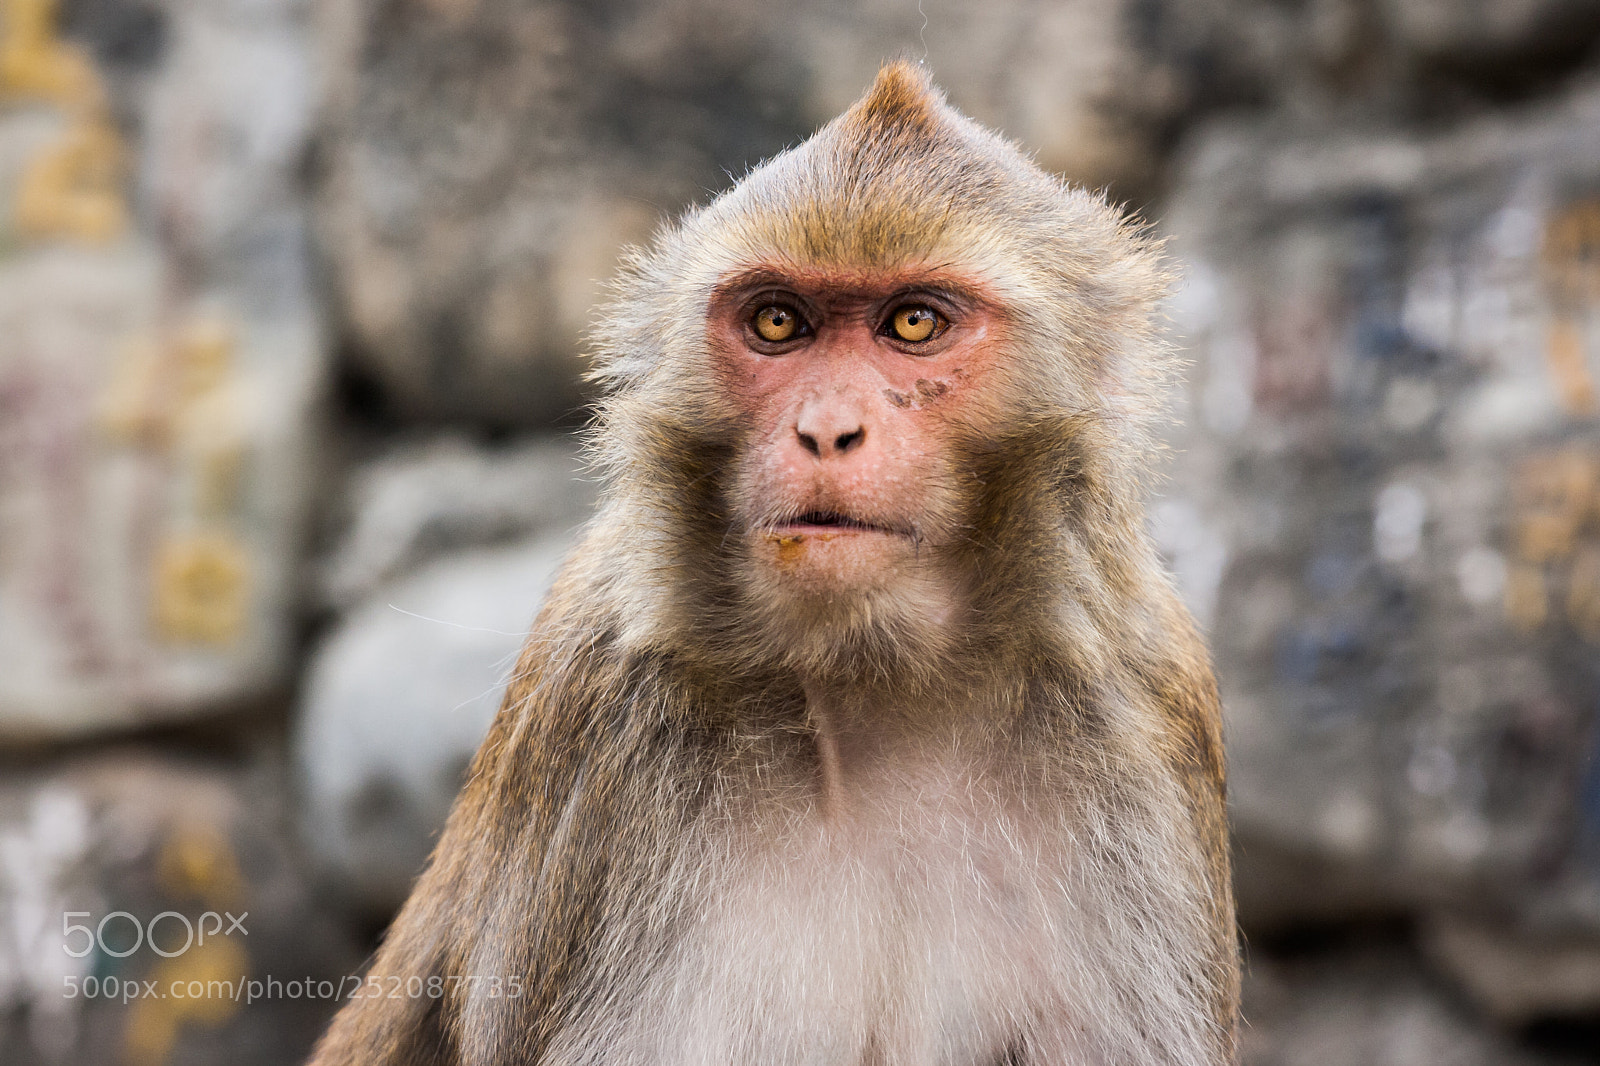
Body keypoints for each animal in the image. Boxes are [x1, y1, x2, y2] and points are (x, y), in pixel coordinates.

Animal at [308, 61, 1239, 1066]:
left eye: (914, 323)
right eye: (779, 322)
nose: (826, 429)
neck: (873, 685)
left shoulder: (1141, 722)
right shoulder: (598, 707)